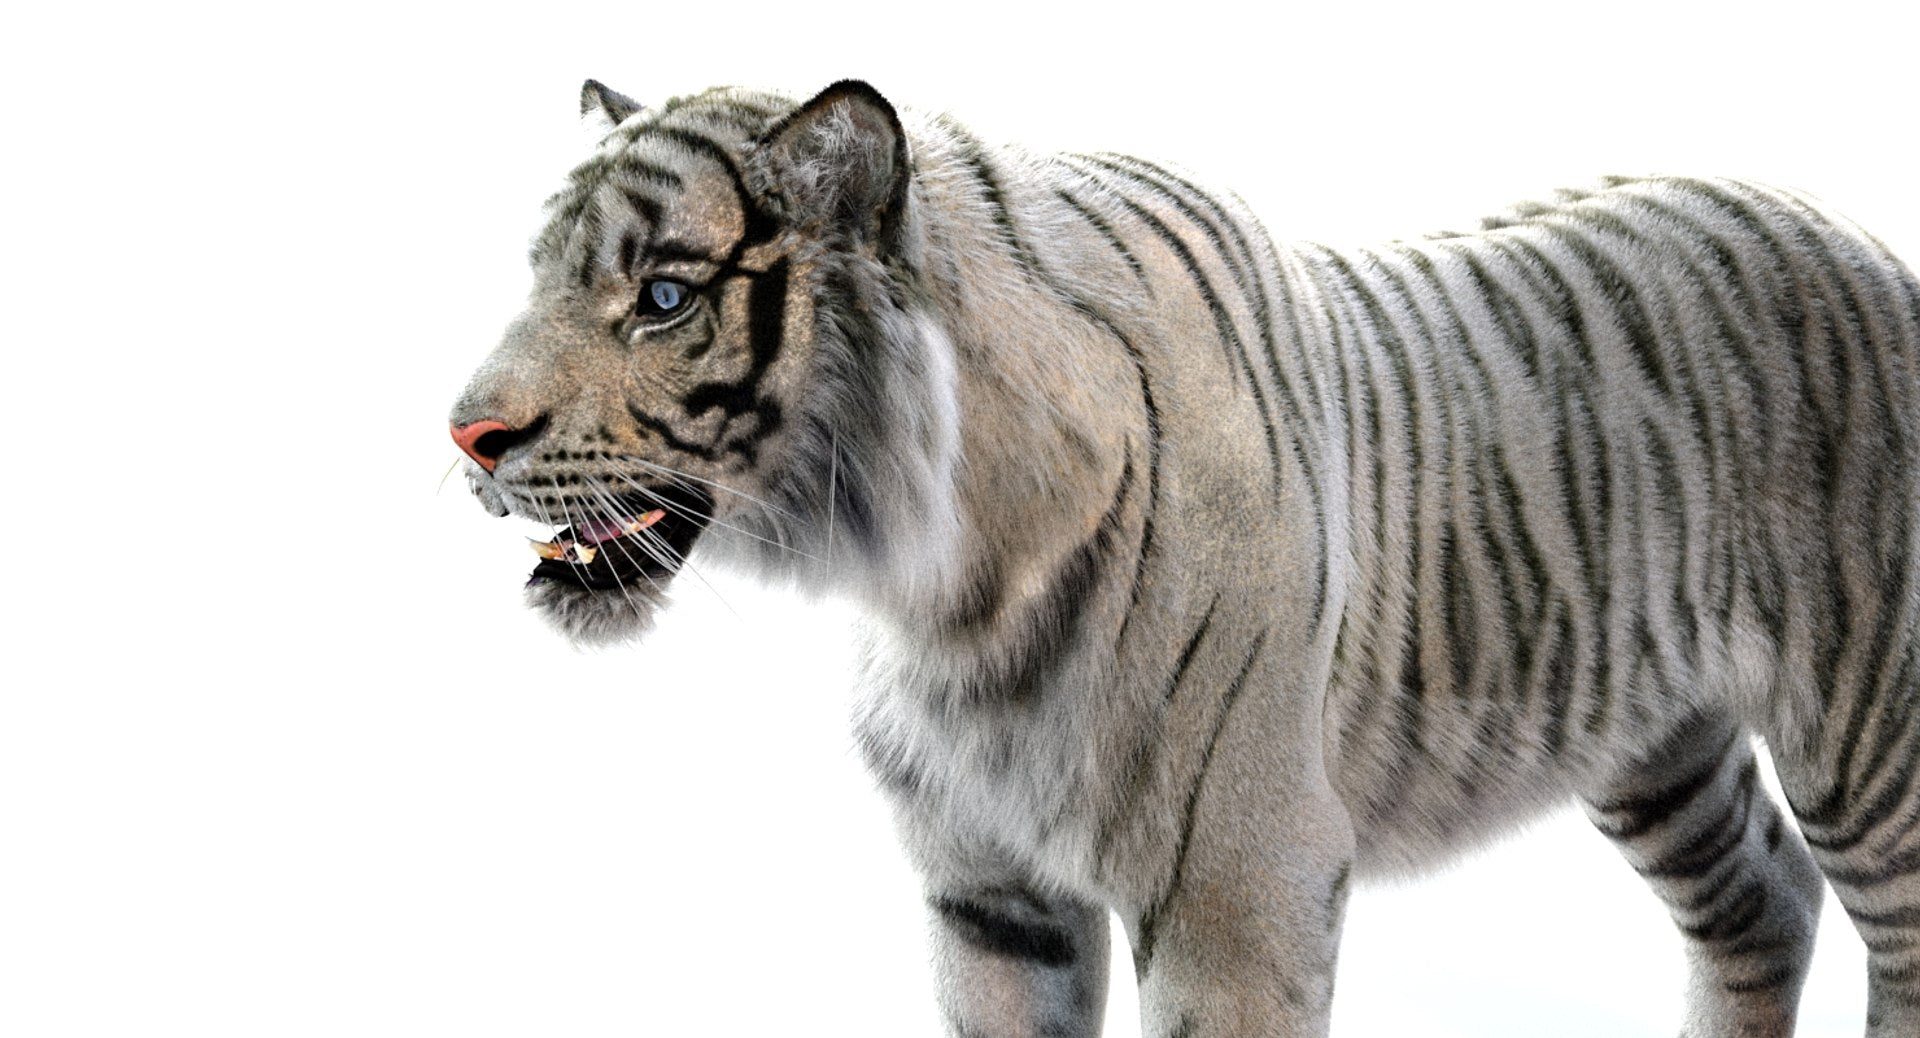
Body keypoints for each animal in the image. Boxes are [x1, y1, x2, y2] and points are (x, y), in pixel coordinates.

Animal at [447, 79, 1920, 1037]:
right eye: (542, 275)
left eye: (663, 297)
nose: (464, 431)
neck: (930, 582)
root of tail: (1848, 223)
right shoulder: (989, 892)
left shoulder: (1239, 883)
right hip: (1654, 738)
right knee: (1763, 900)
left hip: (1866, 737)